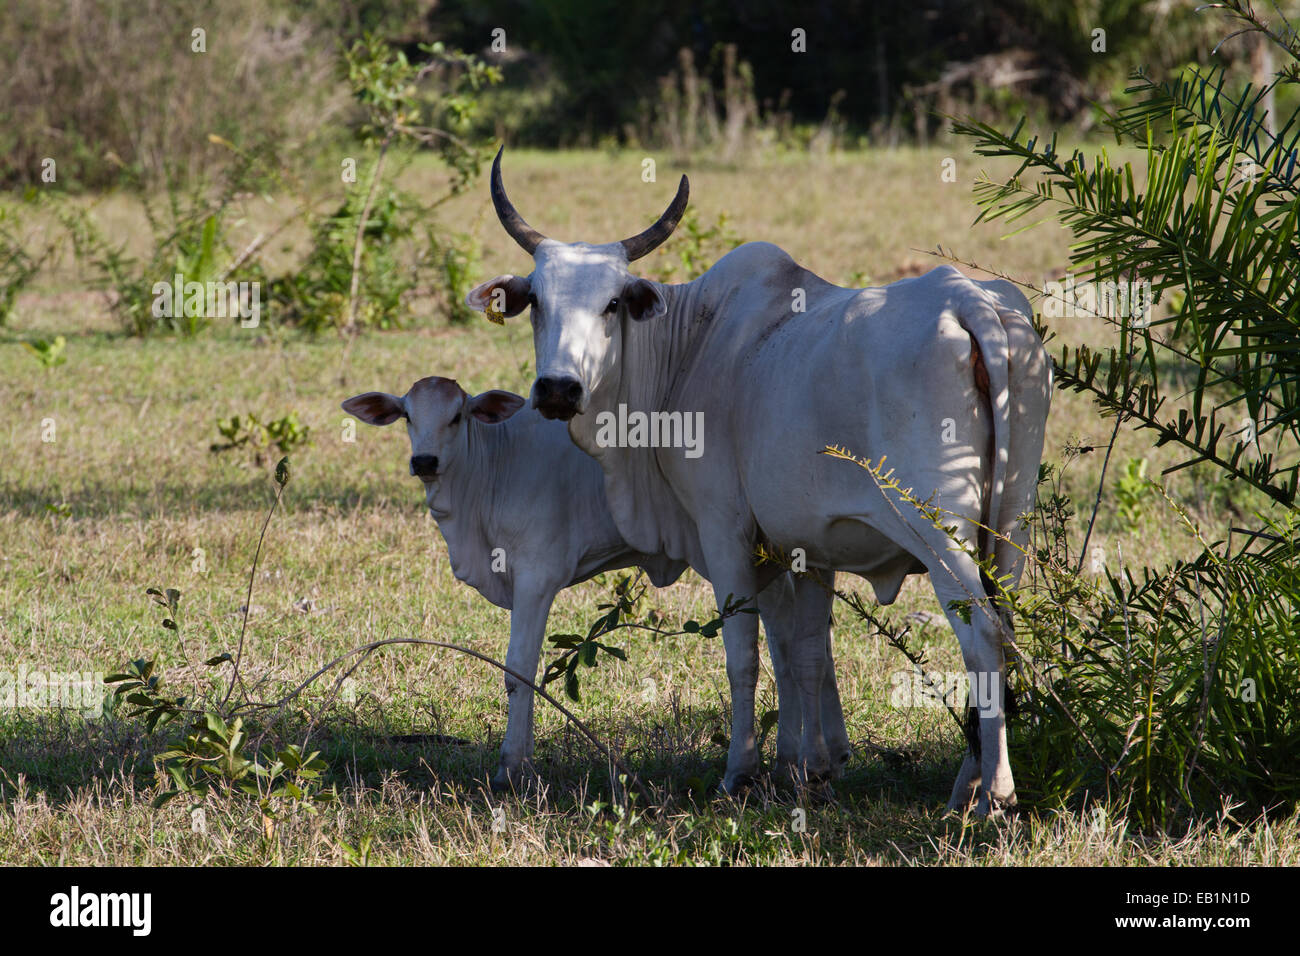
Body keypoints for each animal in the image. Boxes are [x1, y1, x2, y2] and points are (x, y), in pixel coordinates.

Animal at [343, 377, 852, 790]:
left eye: (457, 415)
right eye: (407, 415)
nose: (424, 460)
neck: (489, 470)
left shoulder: (537, 575)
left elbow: (518, 669)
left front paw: (511, 768)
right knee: (798, 642)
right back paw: (815, 756)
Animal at [462, 151, 1050, 816]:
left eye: (612, 304)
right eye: (536, 301)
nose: (559, 389)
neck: (689, 347)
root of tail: (967, 301)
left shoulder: (724, 531)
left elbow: (744, 654)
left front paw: (741, 773)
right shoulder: (802, 547)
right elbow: (803, 654)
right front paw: (803, 768)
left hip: (938, 526)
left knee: (982, 634)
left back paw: (992, 793)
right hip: (1009, 524)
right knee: (1006, 629)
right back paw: (968, 783)